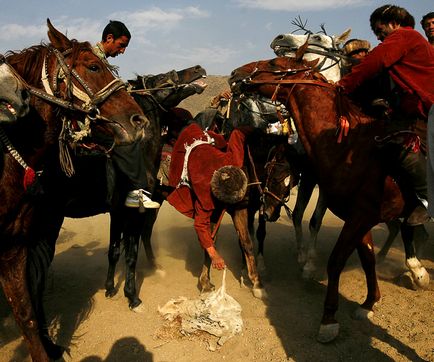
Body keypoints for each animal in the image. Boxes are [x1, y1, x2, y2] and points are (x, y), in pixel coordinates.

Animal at [229, 53, 428, 342]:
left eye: (275, 64)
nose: (235, 74)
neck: (347, 147)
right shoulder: (360, 218)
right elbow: (367, 259)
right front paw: (369, 303)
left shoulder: (360, 217)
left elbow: (335, 262)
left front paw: (329, 319)